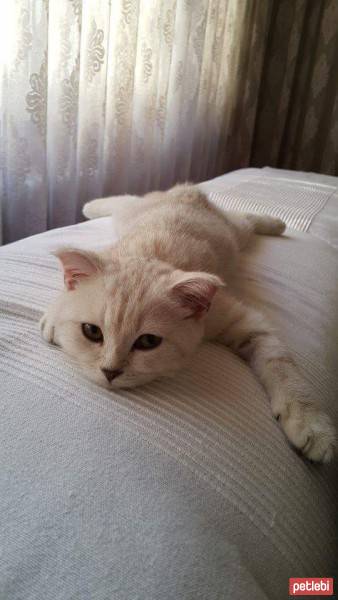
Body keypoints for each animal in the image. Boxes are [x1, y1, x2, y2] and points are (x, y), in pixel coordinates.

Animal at [39, 185, 336, 462]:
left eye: (148, 342)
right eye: (92, 332)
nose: (110, 371)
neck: (149, 255)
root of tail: (187, 190)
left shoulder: (238, 318)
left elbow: (281, 364)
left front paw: (310, 423)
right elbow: (63, 296)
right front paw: (53, 315)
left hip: (231, 233)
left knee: (242, 218)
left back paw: (276, 224)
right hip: (132, 214)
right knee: (126, 199)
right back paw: (91, 205)